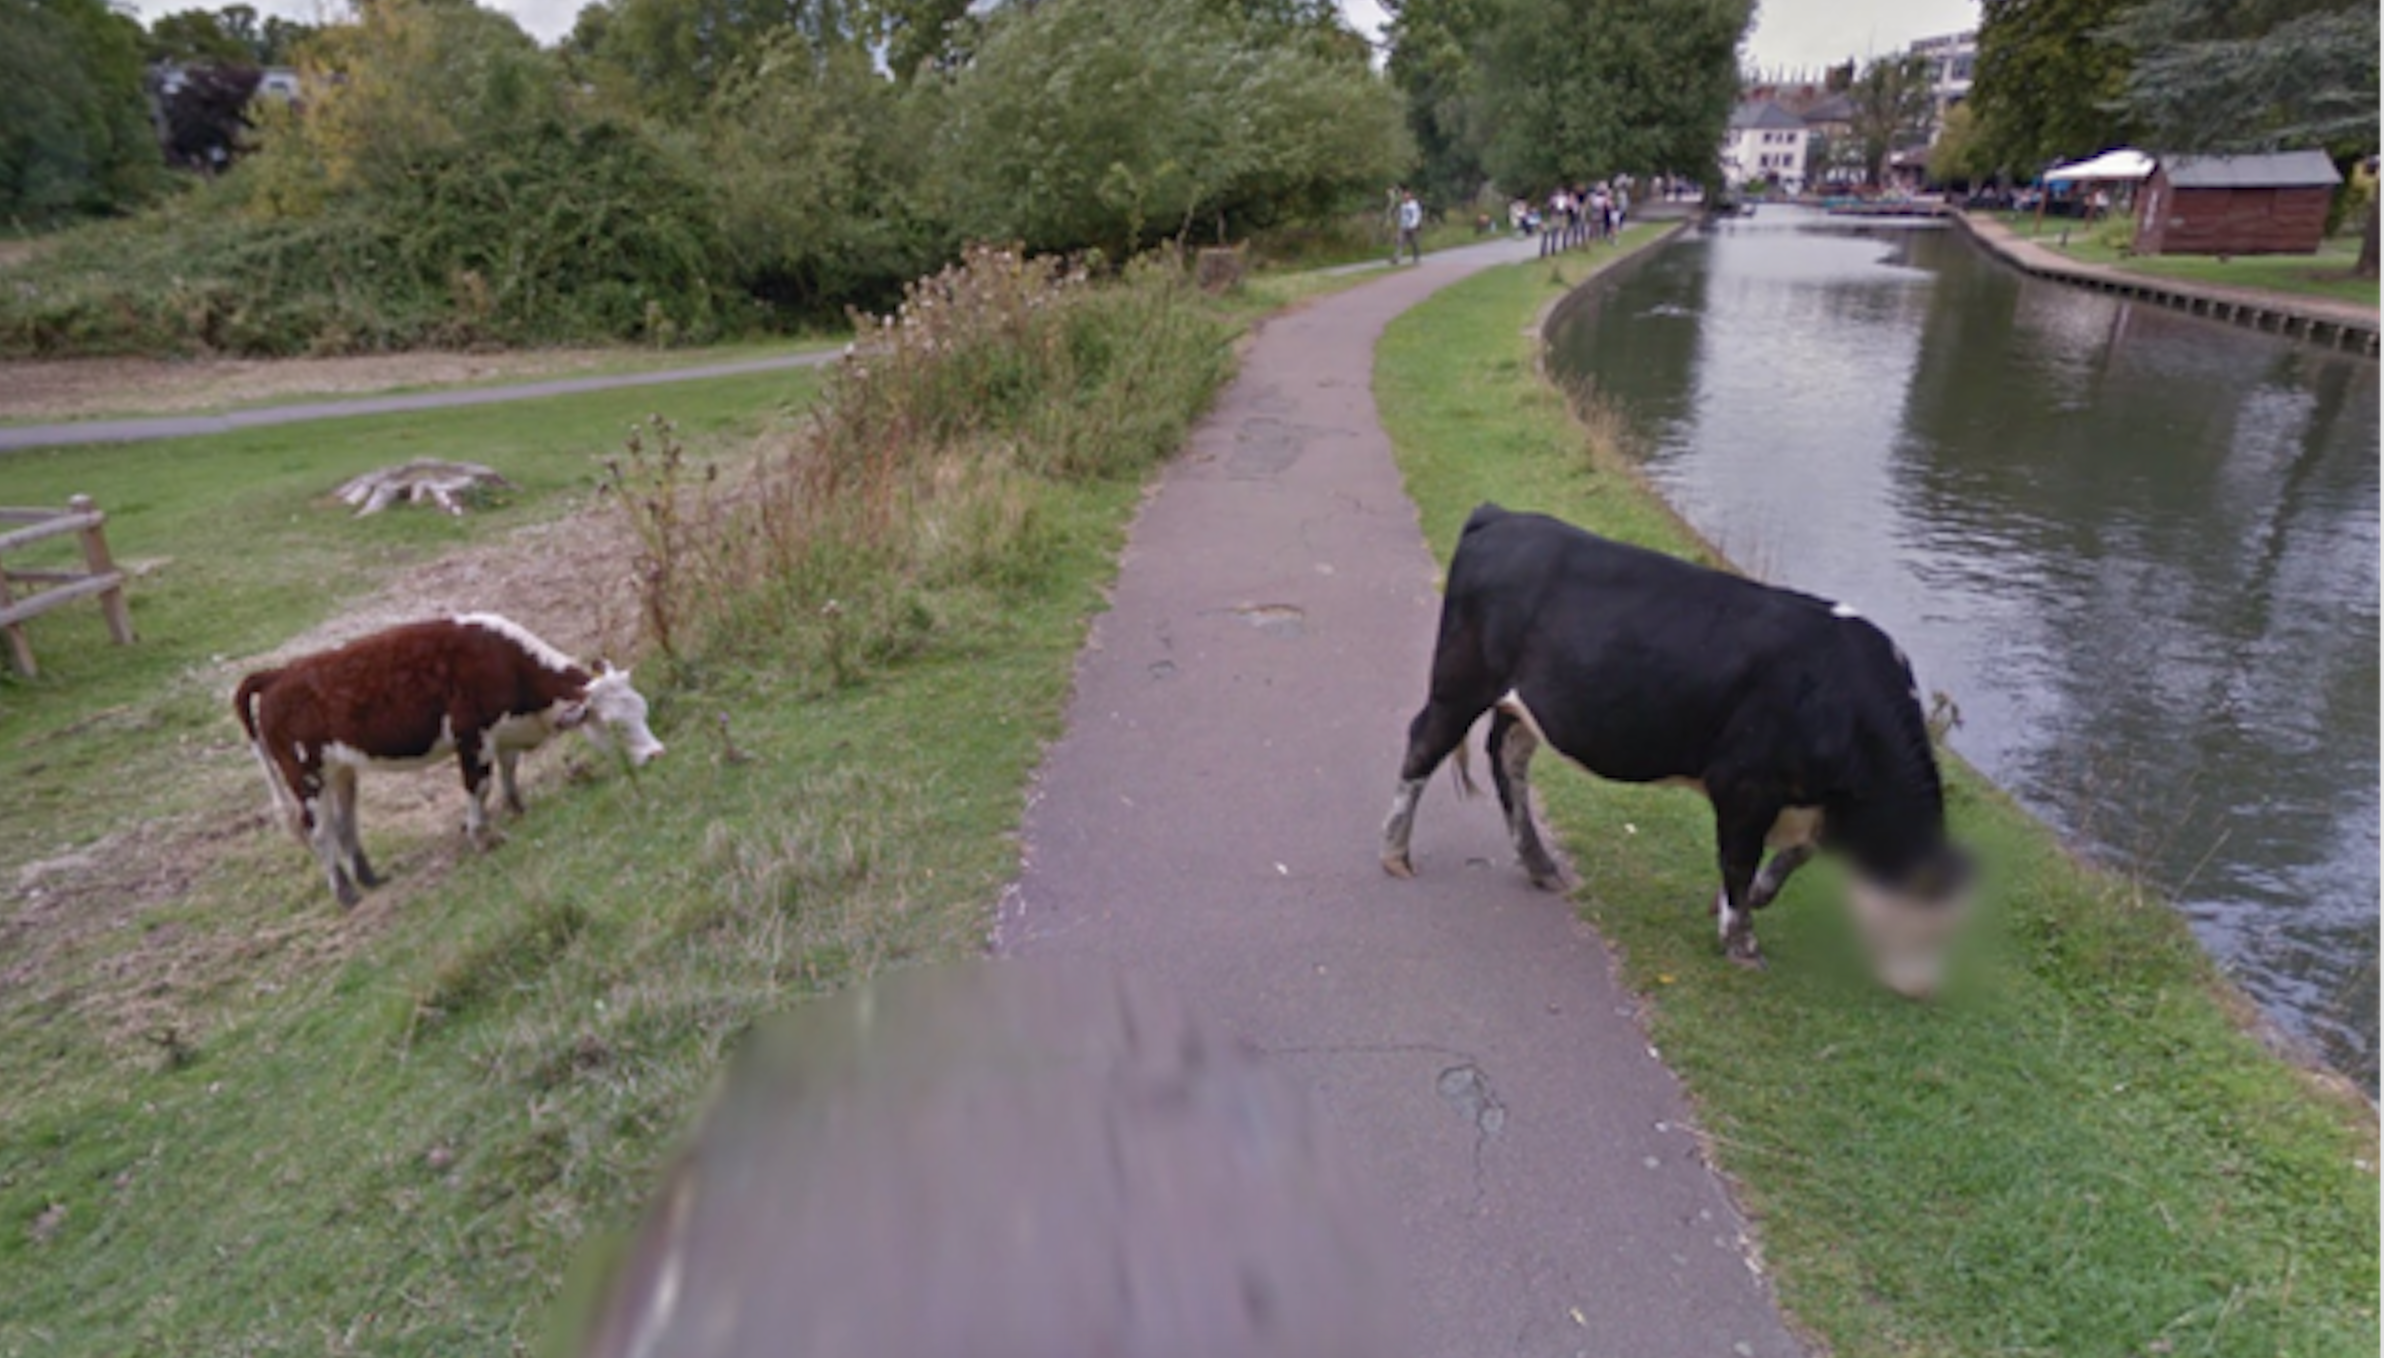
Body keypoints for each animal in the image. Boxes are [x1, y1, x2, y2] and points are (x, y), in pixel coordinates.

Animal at [236, 614, 662, 900]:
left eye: (642, 710)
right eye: (615, 725)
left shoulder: (502, 734)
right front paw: (480, 835)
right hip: (305, 775)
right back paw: (345, 893)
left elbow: (508, 772)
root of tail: (278, 674)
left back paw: (370, 878)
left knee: (344, 824)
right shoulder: (472, 737)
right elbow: (479, 786)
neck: (504, 662)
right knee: (318, 829)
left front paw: (518, 808)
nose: (657, 753)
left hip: (340, 771)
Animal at [1382, 502, 1973, 986]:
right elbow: (1739, 860)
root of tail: (1501, 516)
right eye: (1927, 929)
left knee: (1509, 761)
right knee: (1423, 745)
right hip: (1461, 682)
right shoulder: (1744, 784)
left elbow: (1795, 854)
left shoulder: (1809, 801)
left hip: (1522, 704)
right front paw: (1742, 943)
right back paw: (1396, 853)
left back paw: (1539, 864)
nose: (1923, 991)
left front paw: (1751, 899)